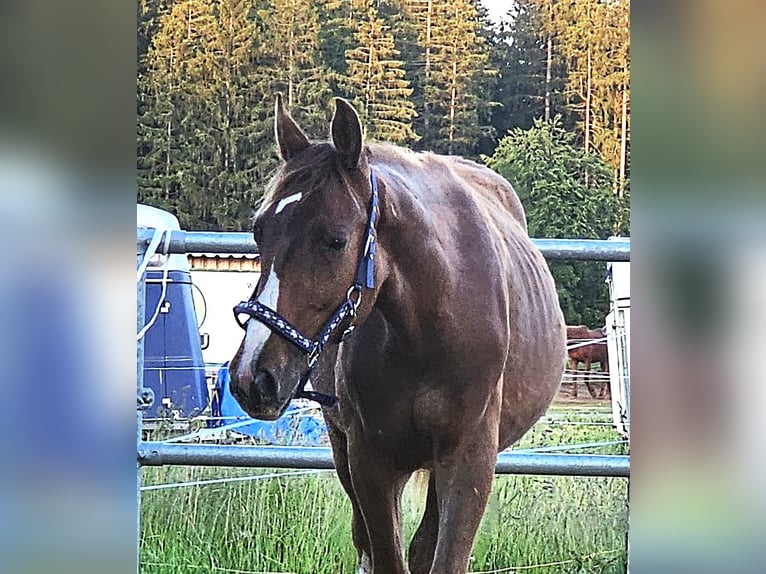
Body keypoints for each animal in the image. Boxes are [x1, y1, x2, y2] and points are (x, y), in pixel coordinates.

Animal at [228, 95, 566, 574]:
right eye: (260, 231)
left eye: (335, 240)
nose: (252, 376)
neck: (429, 329)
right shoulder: (371, 460)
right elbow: (386, 553)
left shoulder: (469, 460)